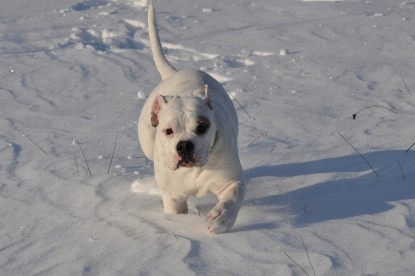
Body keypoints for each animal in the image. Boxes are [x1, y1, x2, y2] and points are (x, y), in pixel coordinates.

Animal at [138, 2, 245, 234]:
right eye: (168, 131)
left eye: (202, 126)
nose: (185, 145)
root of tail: (174, 73)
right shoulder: (174, 198)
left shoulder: (231, 180)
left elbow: (234, 196)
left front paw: (221, 218)